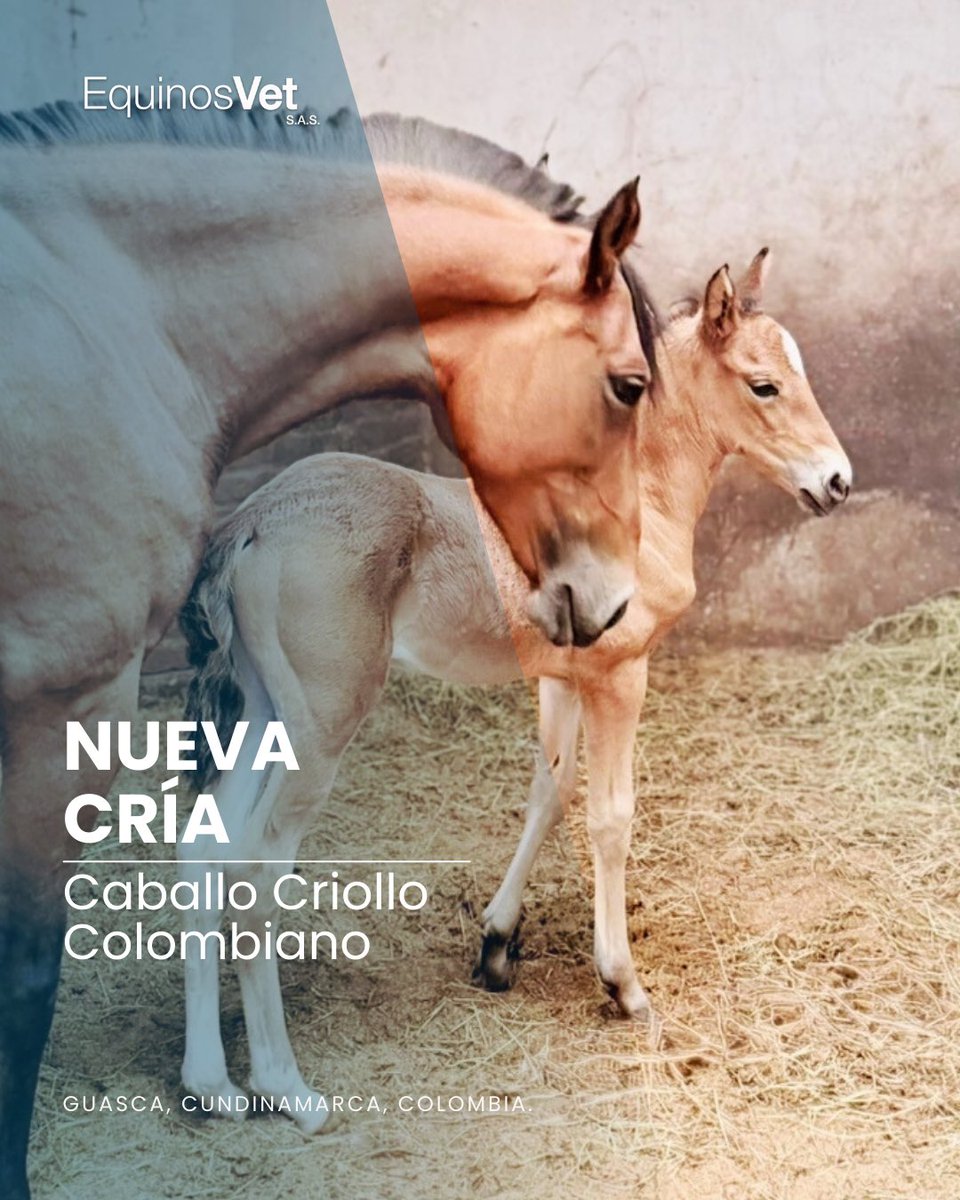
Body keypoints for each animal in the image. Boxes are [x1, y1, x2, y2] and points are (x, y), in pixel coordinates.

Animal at [0, 104, 659, 1197]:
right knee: (256, 859)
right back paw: (275, 1080)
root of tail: (249, 528)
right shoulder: (66, 706)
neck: (130, 310)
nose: (611, 607)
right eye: (629, 384)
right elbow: (26, 981)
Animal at [180, 248, 852, 1130]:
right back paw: (286, 1086)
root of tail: (251, 520)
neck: (636, 504)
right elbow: (609, 817)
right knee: (255, 874)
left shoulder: (561, 677)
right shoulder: (620, 675)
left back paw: (209, 1084)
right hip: (321, 724)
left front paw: (497, 946)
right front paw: (624, 986)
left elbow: (549, 792)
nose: (837, 482)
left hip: (263, 712)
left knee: (205, 848)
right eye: (763, 384)